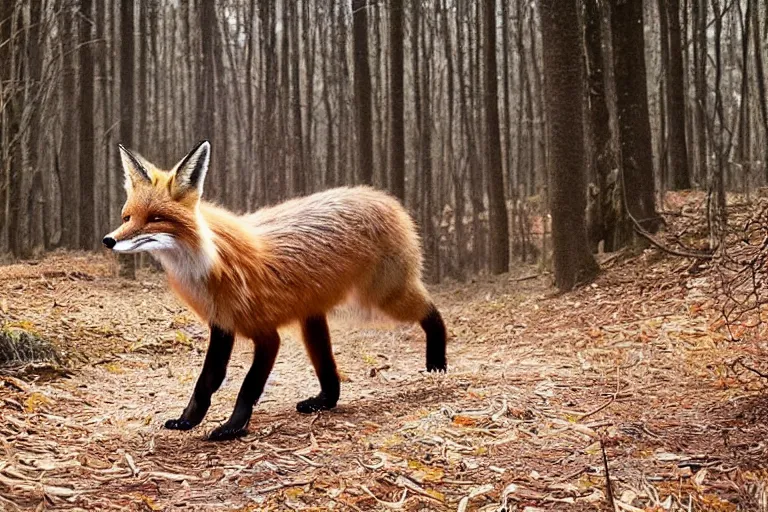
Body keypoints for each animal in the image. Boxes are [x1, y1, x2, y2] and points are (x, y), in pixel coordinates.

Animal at [105, 140, 448, 440]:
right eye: (127, 217)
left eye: (155, 219)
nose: (108, 240)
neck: (209, 264)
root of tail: (382, 196)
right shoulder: (222, 325)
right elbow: (206, 382)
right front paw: (188, 420)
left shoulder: (267, 335)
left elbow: (248, 387)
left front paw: (232, 428)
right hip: (312, 319)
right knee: (331, 378)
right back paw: (322, 402)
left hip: (385, 296)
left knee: (430, 311)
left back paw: (437, 359)